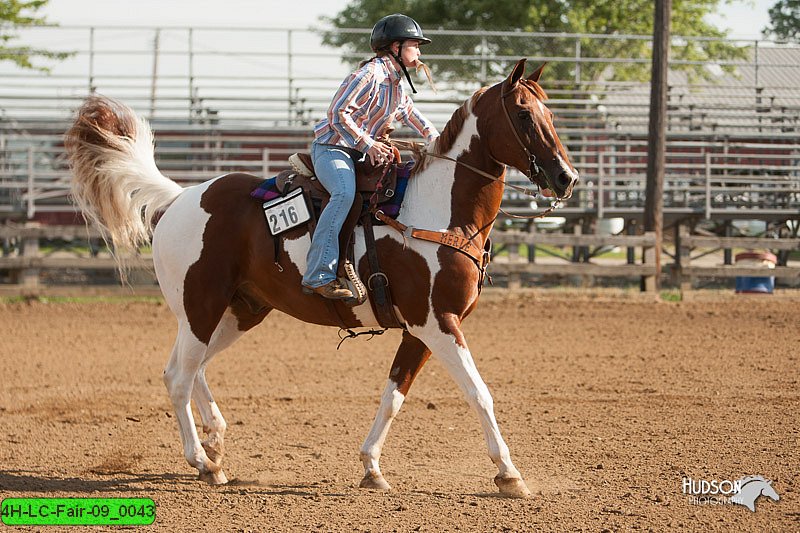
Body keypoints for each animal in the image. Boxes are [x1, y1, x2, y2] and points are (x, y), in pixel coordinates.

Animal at [67, 60, 576, 496]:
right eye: (525, 115)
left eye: (550, 110)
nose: (566, 178)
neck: (438, 210)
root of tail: (179, 198)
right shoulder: (438, 322)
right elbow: (479, 394)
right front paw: (509, 474)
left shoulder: (418, 330)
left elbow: (394, 396)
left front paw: (372, 467)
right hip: (200, 307)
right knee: (178, 375)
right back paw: (204, 462)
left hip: (238, 312)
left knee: (193, 369)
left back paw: (215, 440)